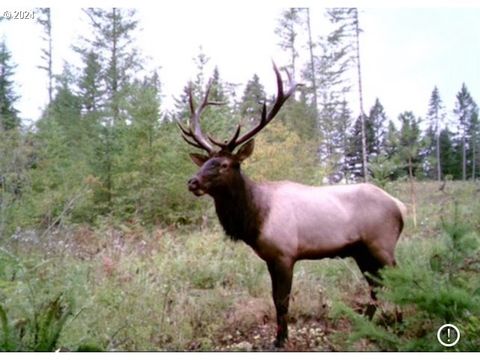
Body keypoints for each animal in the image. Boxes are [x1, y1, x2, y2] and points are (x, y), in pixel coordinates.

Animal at [178, 63, 406, 348]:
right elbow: (275, 298)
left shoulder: (285, 254)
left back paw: (399, 327)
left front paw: (281, 340)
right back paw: (365, 324)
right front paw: (279, 337)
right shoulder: (269, 257)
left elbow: (282, 300)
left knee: (398, 281)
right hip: (362, 251)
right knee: (376, 285)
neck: (255, 218)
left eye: (224, 164)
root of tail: (400, 207)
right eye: (205, 162)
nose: (192, 182)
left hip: (382, 244)